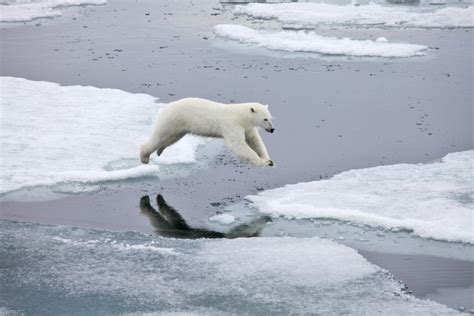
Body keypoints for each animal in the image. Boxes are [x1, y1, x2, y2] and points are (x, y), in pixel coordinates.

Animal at [140, 97, 274, 167]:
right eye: (265, 119)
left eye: (270, 117)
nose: (272, 129)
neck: (241, 116)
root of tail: (165, 108)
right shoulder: (231, 124)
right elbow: (238, 145)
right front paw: (264, 162)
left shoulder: (247, 127)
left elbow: (255, 141)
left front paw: (269, 159)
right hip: (172, 120)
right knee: (159, 136)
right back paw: (145, 156)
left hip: (179, 126)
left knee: (172, 138)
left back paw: (160, 150)